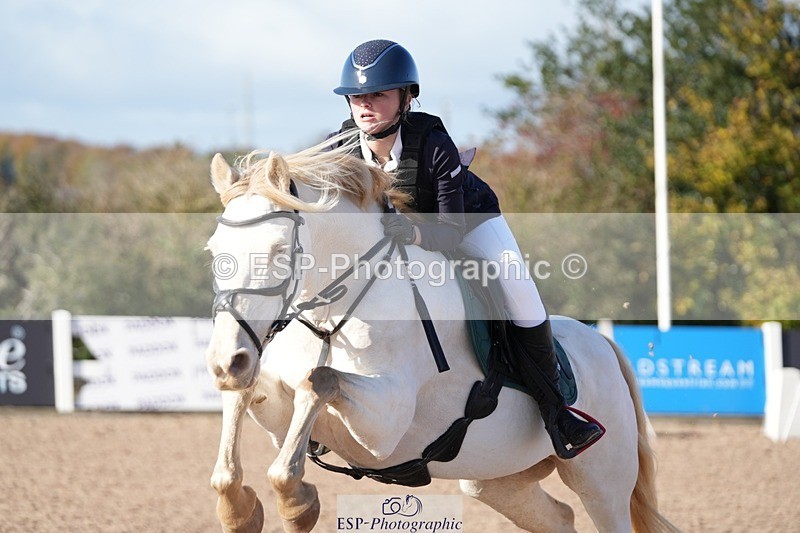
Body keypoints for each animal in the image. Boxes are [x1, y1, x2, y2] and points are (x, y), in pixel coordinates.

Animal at [204, 135, 677, 533]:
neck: (332, 314)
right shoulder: (277, 408)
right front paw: (241, 512)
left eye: (278, 251)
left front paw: (297, 505)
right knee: (559, 516)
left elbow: (318, 382)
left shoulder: (383, 427)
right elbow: (241, 423)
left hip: (601, 482)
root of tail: (602, 344)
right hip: (496, 479)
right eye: (214, 252)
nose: (228, 362)